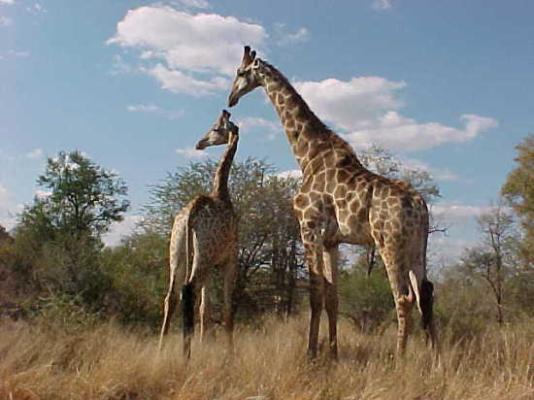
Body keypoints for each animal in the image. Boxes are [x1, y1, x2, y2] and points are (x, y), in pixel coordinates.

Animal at [160, 110, 240, 360]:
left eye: (214, 128)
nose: (199, 143)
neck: (221, 193)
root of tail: (192, 211)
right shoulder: (230, 259)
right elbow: (227, 309)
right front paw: (230, 356)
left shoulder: (212, 263)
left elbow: (206, 309)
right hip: (203, 254)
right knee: (188, 290)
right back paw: (186, 357)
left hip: (178, 251)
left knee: (172, 296)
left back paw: (160, 351)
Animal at [228, 47, 438, 360]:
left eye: (241, 73)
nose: (231, 98)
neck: (308, 156)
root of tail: (419, 205)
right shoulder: (332, 241)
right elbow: (332, 298)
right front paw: (334, 353)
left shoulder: (309, 228)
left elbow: (315, 294)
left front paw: (311, 353)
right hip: (416, 248)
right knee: (426, 295)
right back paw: (436, 360)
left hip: (389, 243)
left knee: (404, 297)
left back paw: (399, 359)